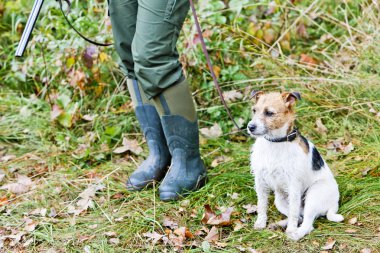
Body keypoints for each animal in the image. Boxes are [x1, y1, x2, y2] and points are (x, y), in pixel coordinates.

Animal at [248, 91, 342, 241]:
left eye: (269, 113)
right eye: (254, 110)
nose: (250, 127)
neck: (275, 143)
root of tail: (334, 204)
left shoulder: (293, 185)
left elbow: (293, 212)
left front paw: (291, 229)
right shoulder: (260, 180)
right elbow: (261, 205)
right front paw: (260, 222)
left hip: (313, 196)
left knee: (307, 223)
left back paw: (295, 234)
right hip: (280, 200)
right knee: (300, 216)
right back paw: (279, 224)